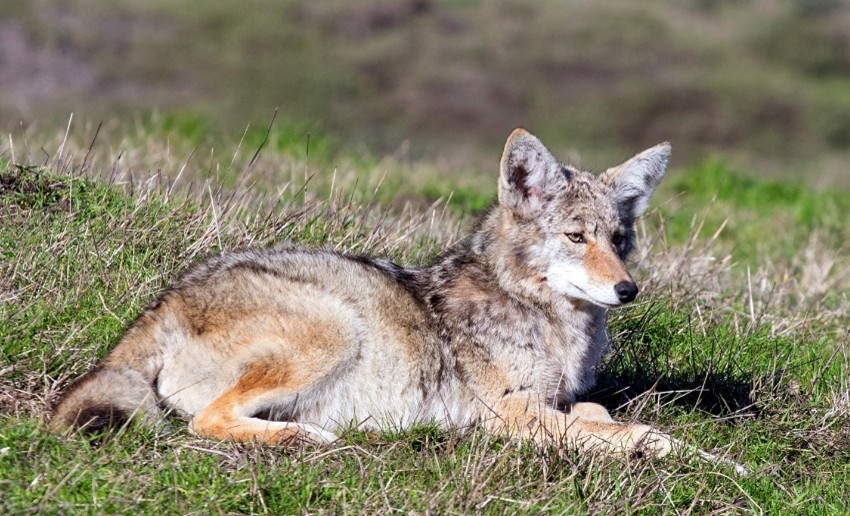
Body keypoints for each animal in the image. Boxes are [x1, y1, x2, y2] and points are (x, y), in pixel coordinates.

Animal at [52, 129, 745, 473]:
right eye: (576, 238)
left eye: (619, 240)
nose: (627, 289)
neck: (545, 317)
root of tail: (163, 303)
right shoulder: (511, 417)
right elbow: (641, 433)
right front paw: (720, 464)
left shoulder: (555, 402)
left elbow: (603, 416)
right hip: (336, 328)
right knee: (207, 422)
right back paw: (310, 439)